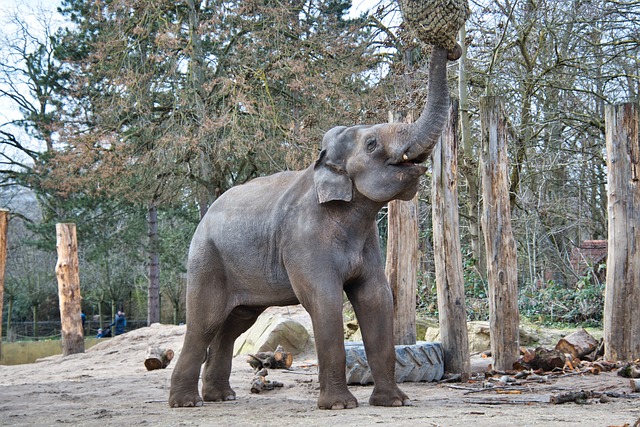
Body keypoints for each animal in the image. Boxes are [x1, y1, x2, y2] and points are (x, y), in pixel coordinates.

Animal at [170, 45, 458, 410]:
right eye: (372, 144)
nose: (451, 49)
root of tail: (204, 217)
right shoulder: (304, 238)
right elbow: (325, 300)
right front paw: (340, 405)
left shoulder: (368, 244)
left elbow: (377, 298)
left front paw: (395, 402)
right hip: (207, 260)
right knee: (204, 322)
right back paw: (186, 403)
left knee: (235, 323)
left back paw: (221, 397)